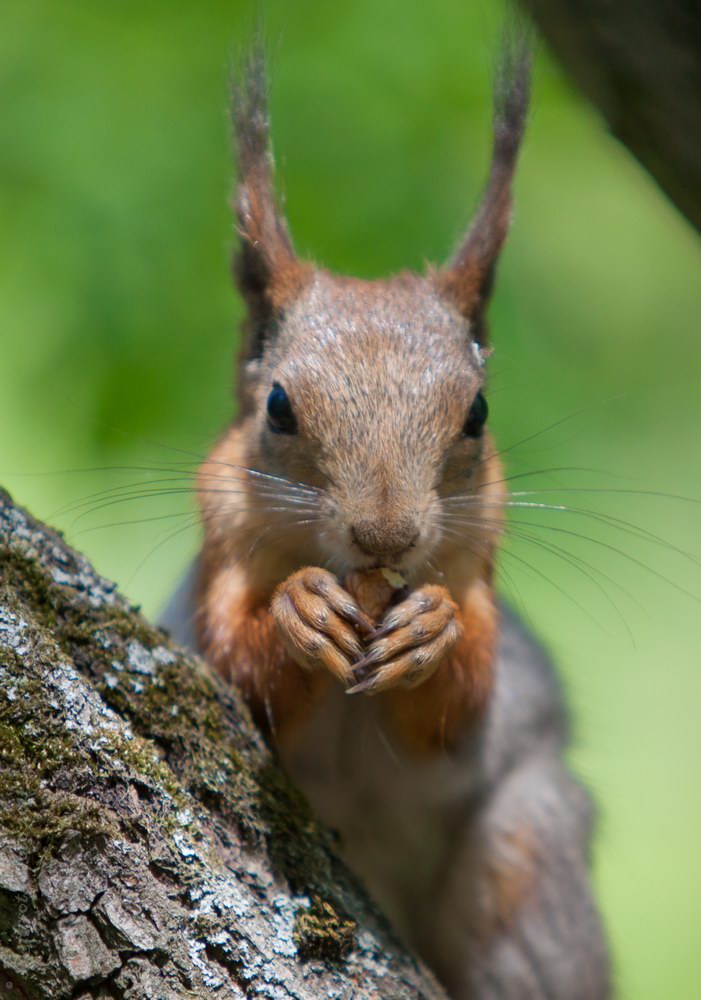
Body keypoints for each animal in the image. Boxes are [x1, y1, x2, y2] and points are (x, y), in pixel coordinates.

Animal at [161, 39, 608, 1000]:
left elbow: (458, 709)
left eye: (476, 413)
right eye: (278, 406)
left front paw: (432, 628)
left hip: (526, 849)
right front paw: (297, 614)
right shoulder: (215, 573)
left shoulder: (477, 610)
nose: (385, 536)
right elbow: (236, 661)